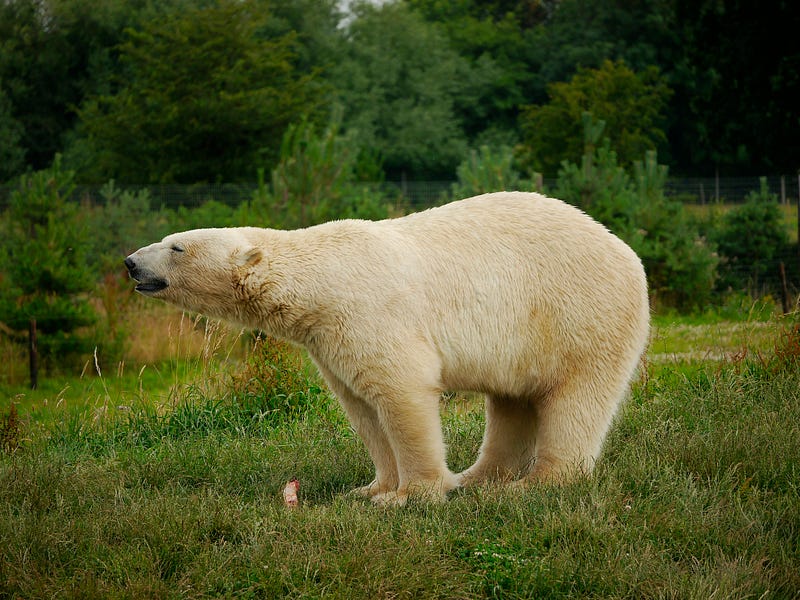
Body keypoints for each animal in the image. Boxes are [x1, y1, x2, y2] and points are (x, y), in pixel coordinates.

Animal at [123, 193, 648, 506]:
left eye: (177, 247)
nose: (130, 262)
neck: (322, 279)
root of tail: (626, 251)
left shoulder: (370, 312)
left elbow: (401, 393)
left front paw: (408, 496)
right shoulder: (329, 339)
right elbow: (361, 406)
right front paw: (368, 488)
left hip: (578, 314)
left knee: (576, 399)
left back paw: (536, 484)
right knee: (512, 401)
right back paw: (478, 478)